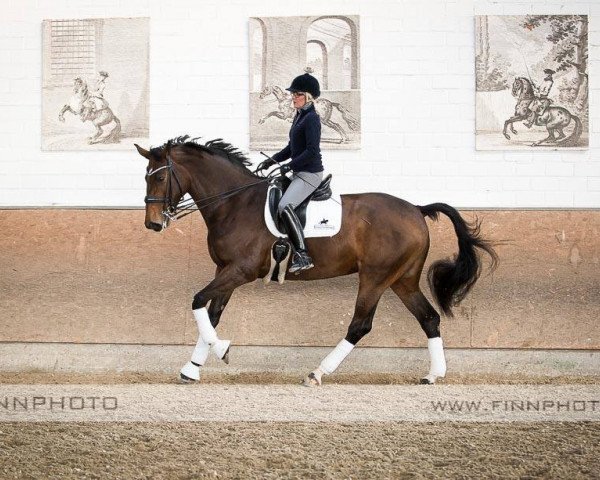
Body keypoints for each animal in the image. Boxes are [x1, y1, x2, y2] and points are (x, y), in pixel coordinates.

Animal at [136, 135, 496, 386]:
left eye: (159, 178)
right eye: (146, 177)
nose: (152, 224)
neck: (234, 204)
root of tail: (417, 210)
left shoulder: (240, 270)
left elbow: (198, 301)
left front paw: (221, 350)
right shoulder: (224, 270)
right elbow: (211, 313)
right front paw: (192, 368)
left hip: (376, 277)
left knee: (360, 324)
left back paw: (317, 373)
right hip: (402, 279)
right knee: (429, 318)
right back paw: (433, 375)